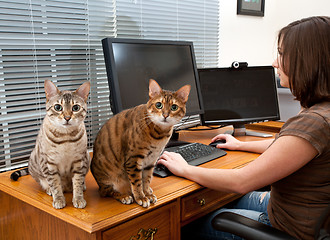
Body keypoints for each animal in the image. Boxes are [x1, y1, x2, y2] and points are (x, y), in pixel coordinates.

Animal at [10, 80, 90, 208]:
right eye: (58, 107)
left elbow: (77, 182)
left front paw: (78, 198)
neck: (65, 137)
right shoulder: (49, 164)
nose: (67, 117)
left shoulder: (79, 161)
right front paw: (59, 200)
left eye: (76, 107)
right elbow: (55, 185)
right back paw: (49, 190)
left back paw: (82, 186)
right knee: (44, 182)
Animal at [91, 79, 191, 207]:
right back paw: (124, 196)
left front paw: (147, 193)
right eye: (159, 105)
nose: (165, 115)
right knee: (107, 192)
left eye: (174, 107)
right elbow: (137, 182)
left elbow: (146, 179)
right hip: (108, 178)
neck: (159, 134)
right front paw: (141, 197)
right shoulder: (133, 159)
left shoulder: (151, 160)